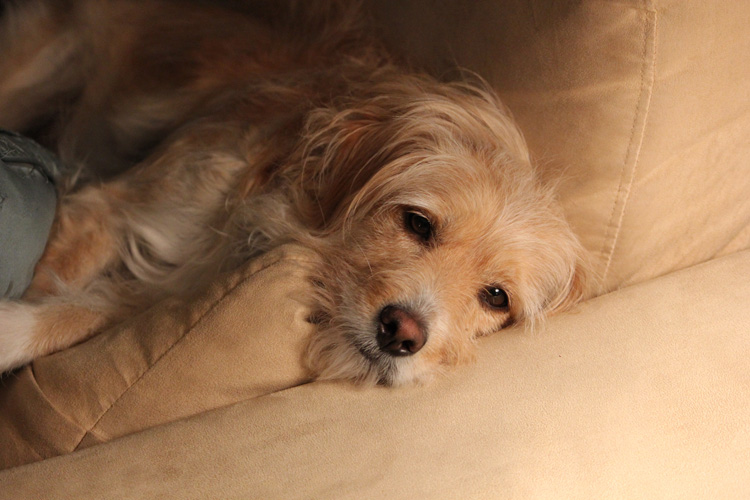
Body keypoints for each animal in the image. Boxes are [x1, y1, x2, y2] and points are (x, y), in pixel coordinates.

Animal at [0, 0, 588, 386]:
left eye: (496, 297)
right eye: (418, 223)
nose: (402, 334)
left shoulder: (153, 292)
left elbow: (73, 312)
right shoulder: (115, 209)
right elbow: (49, 277)